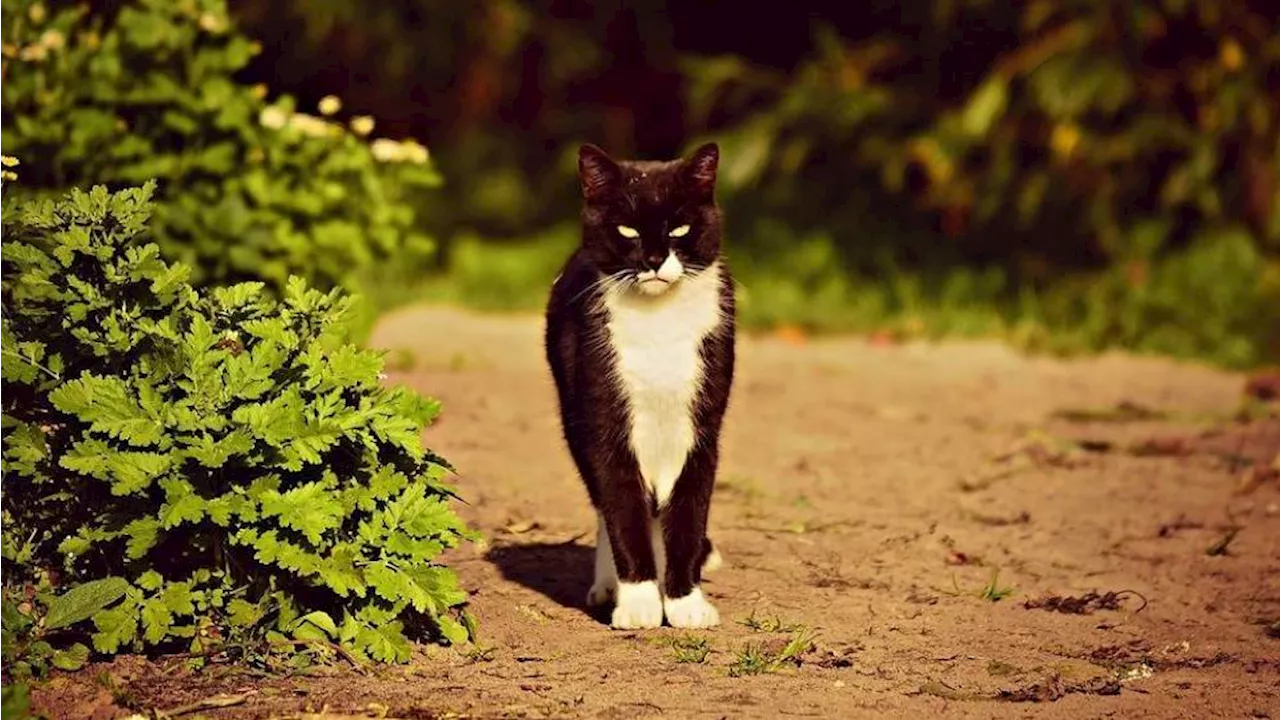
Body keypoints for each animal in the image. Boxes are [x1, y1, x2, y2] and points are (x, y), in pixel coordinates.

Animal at [542, 142, 737, 625]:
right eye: (627, 229)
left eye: (680, 228)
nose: (653, 261)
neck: (658, 323)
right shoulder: (603, 422)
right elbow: (621, 509)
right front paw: (639, 603)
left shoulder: (701, 429)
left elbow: (686, 513)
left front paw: (684, 602)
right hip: (572, 417)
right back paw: (608, 587)